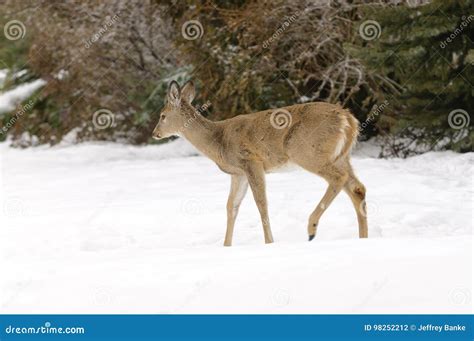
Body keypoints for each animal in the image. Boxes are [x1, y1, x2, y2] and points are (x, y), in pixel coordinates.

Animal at [152, 81, 366, 247]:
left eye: (163, 115)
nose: (155, 133)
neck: (218, 140)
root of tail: (348, 119)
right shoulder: (238, 173)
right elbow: (232, 206)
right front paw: (226, 246)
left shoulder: (251, 161)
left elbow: (261, 203)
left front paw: (269, 242)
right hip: (341, 156)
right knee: (357, 188)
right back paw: (363, 237)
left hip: (307, 152)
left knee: (339, 178)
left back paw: (311, 228)